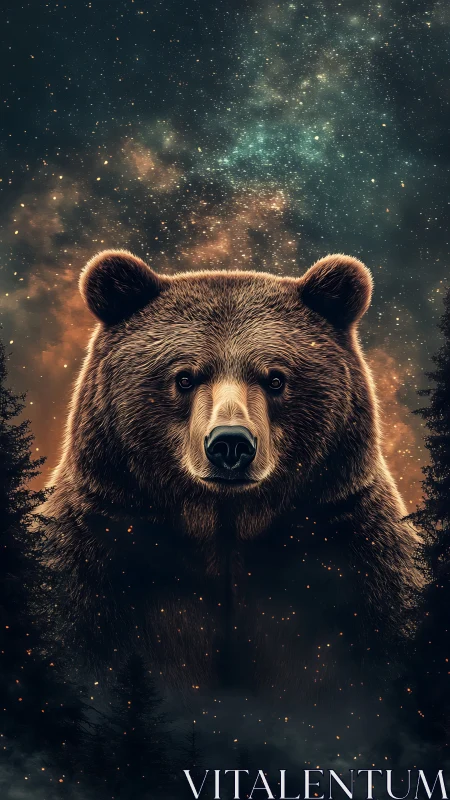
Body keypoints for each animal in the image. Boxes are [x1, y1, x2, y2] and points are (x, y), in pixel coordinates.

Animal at [42, 250, 421, 717]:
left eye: (275, 378)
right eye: (185, 377)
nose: (230, 444)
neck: (224, 524)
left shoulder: (350, 549)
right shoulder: (103, 548)